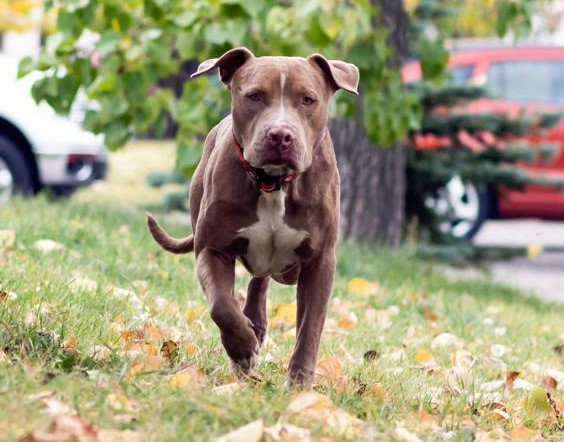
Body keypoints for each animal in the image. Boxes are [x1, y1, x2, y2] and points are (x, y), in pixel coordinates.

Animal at [148, 47, 360, 386]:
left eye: (308, 99)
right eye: (255, 95)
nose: (280, 134)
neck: (272, 182)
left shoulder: (320, 261)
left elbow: (309, 328)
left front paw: (300, 384)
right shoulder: (213, 248)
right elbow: (221, 306)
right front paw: (242, 348)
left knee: (264, 279)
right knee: (254, 281)